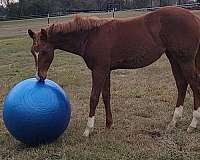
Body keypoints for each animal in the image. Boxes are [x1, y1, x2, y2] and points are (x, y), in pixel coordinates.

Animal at [28, 6, 200, 136]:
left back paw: (192, 124)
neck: (90, 36)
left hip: (184, 60)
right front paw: (108, 124)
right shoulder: (106, 70)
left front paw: (88, 130)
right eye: (32, 52)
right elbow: (106, 96)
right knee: (182, 84)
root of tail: (194, 18)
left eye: (44, 51)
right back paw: (173, 123)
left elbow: (94, 97)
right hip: (174, 58)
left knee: (194, 85)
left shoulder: (98, 70)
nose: (40, 76)